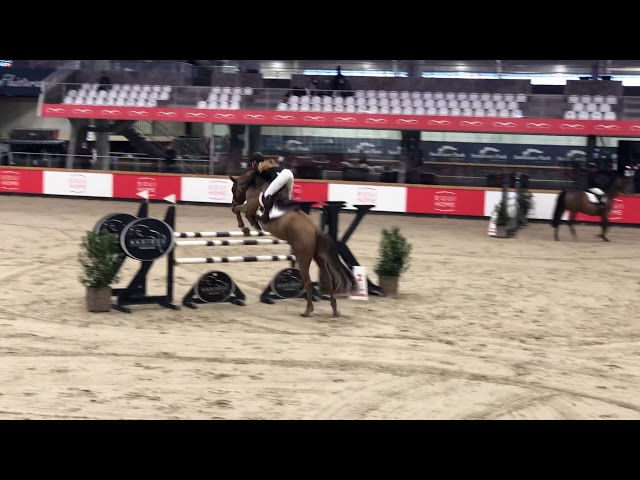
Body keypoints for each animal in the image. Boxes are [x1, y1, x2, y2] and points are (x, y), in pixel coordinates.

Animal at [229, 165, 355, 318]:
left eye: (233, 189)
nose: (232, 202)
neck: (256, 183)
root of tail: (315, 230)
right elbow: (241, 211)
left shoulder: (249, 207)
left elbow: (240, 211)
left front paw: (245, 227)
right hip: (318, 256)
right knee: (328, 278)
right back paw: (334, 310)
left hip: (303, 257)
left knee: (307, 281)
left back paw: (308, 310)